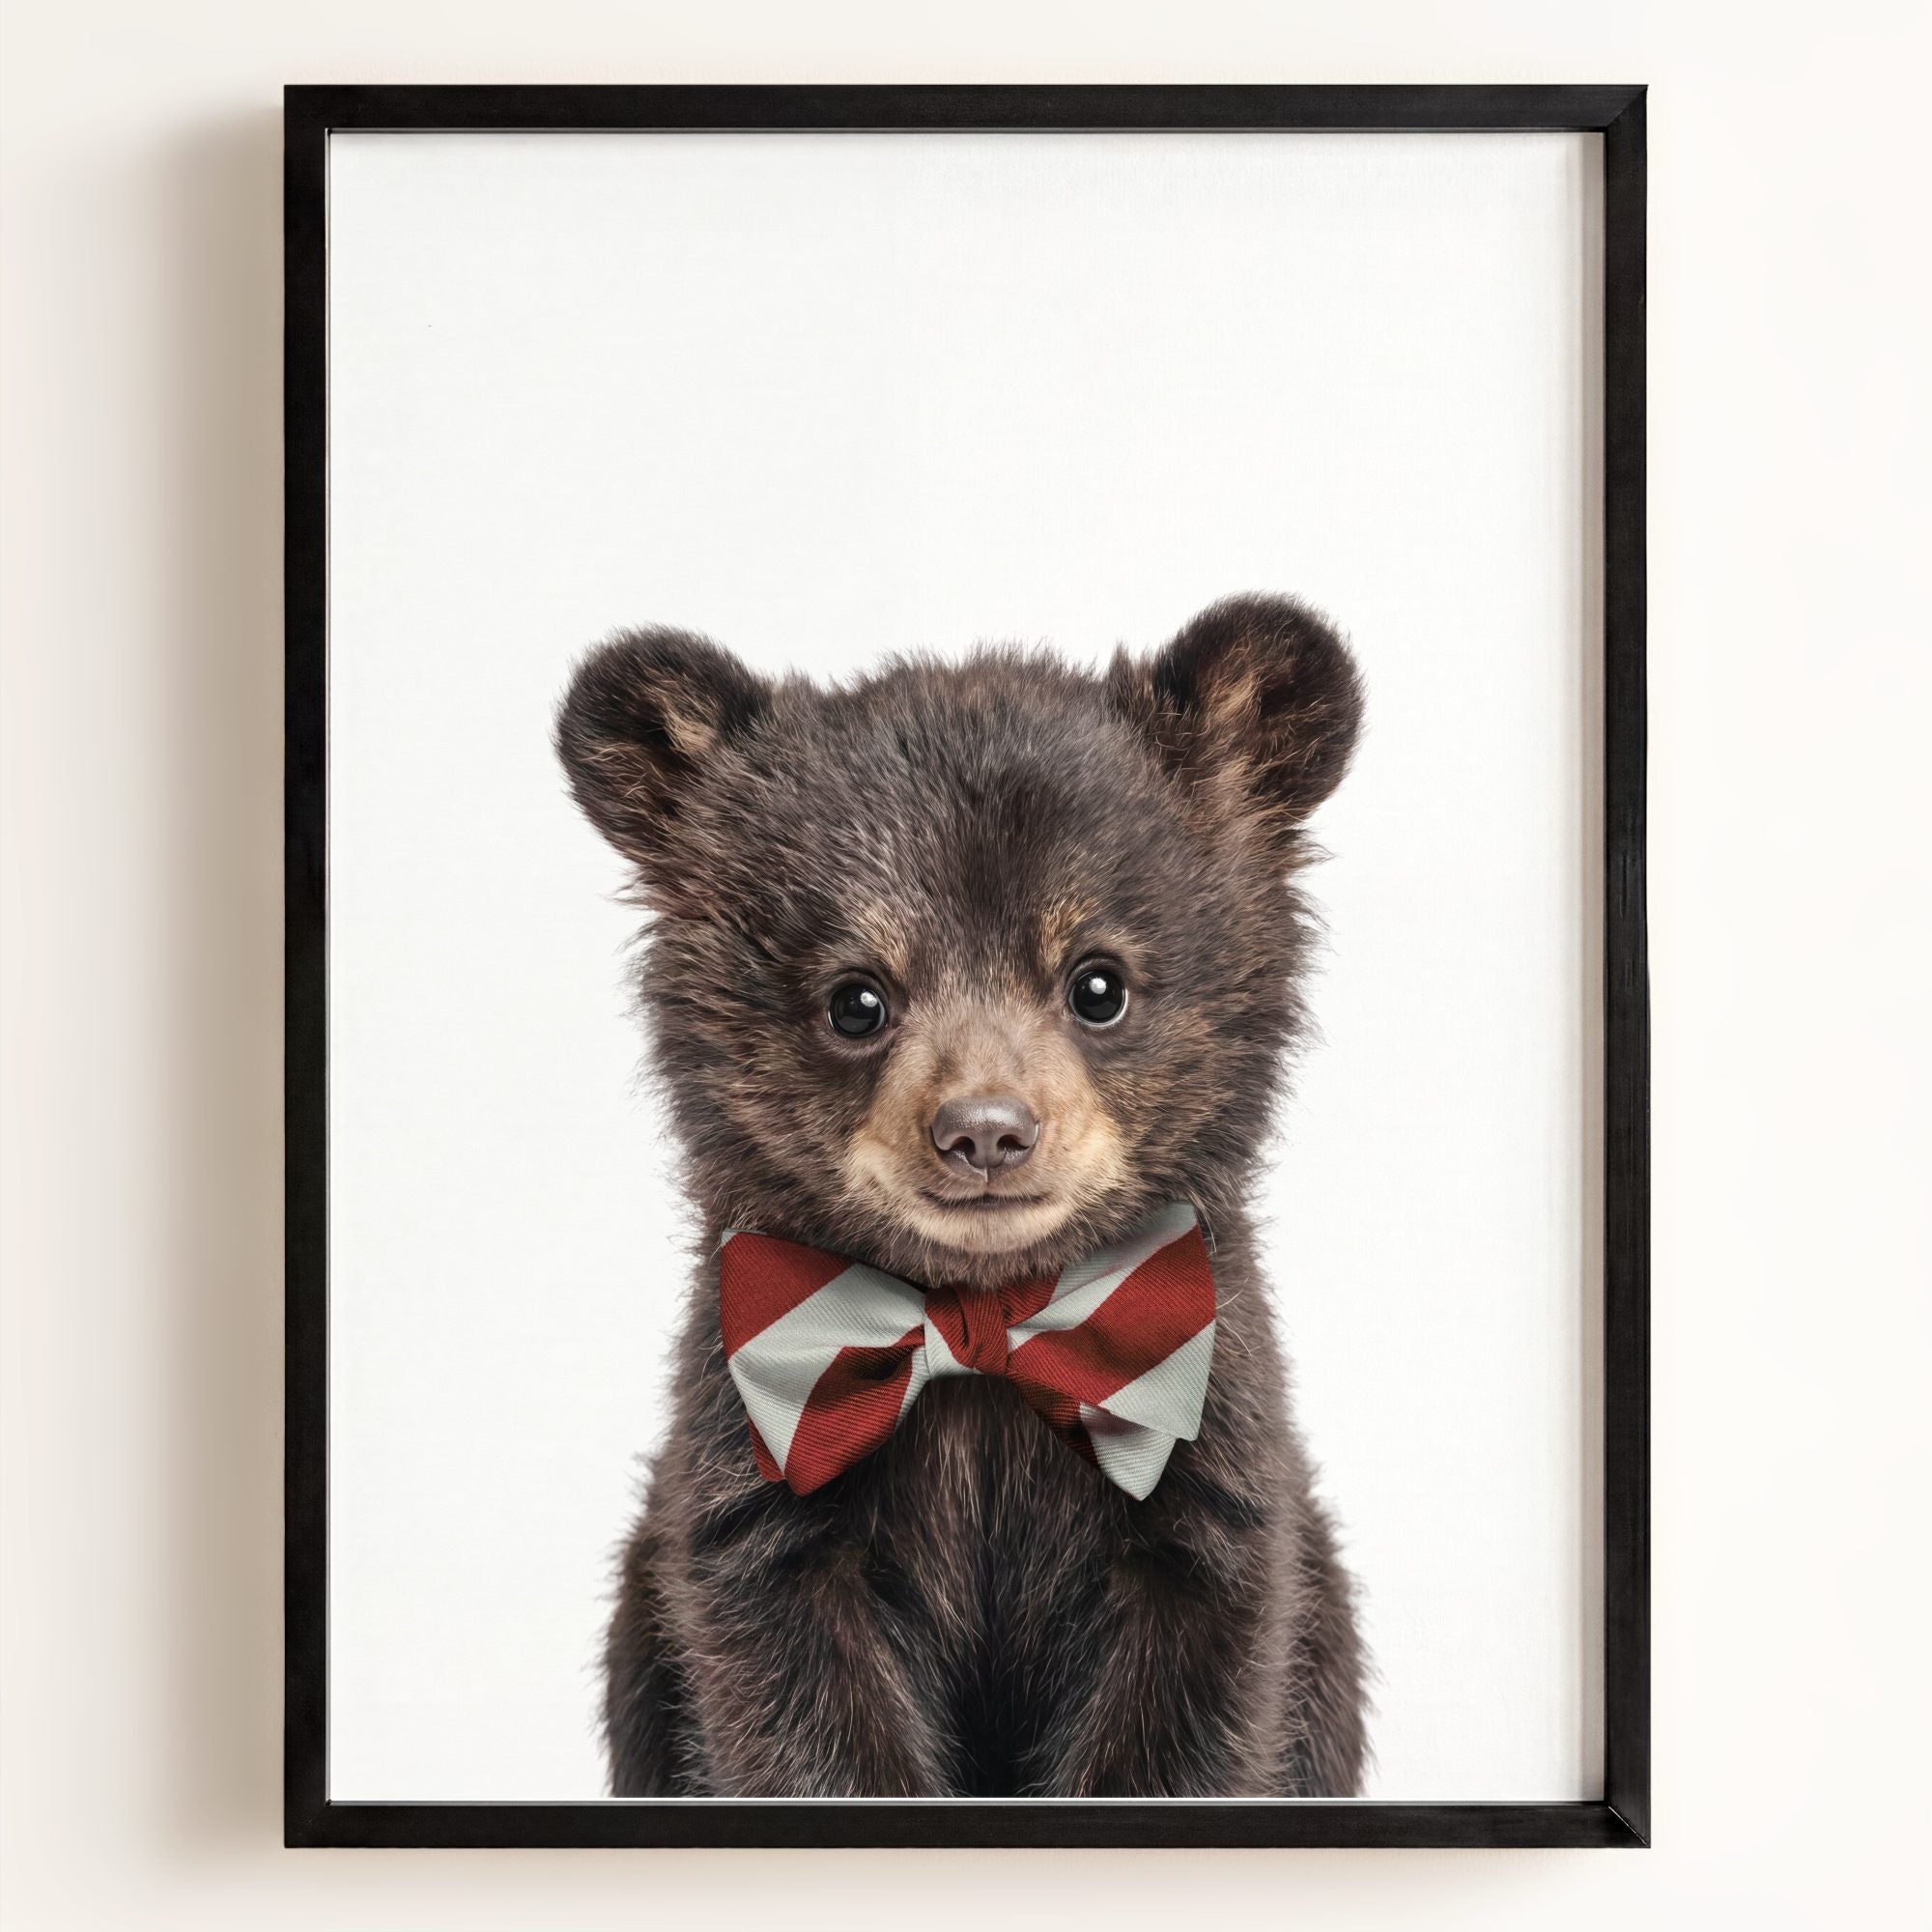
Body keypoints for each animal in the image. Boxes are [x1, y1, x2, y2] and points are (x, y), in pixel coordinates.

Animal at [556, 593, 1370, 1798]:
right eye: (855, 998)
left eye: (1097, 981)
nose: (984, 1128)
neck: (984, 1329)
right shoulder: (758, 1485)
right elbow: (795, 1709)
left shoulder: (1202, 1469)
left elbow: (1192, 1707)